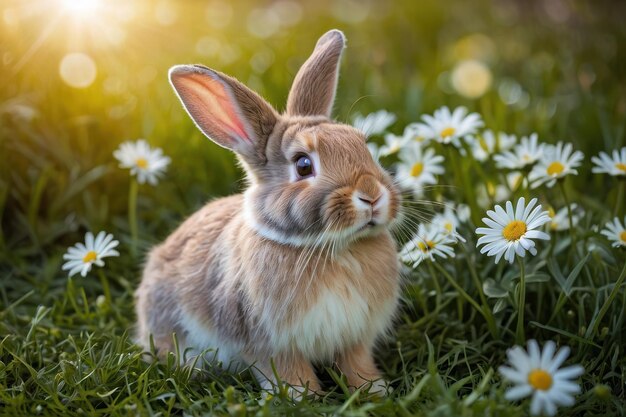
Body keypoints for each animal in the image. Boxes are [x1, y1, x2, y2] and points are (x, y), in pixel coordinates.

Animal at [135, 28, 402, 394]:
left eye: (364, 146)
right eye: (303, 165)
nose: (372, 195)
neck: (334, 247)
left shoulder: (354, 337)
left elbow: (356, 365)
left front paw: (374, 390)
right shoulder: (270, 344)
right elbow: (289, 372)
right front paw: (303, 397)